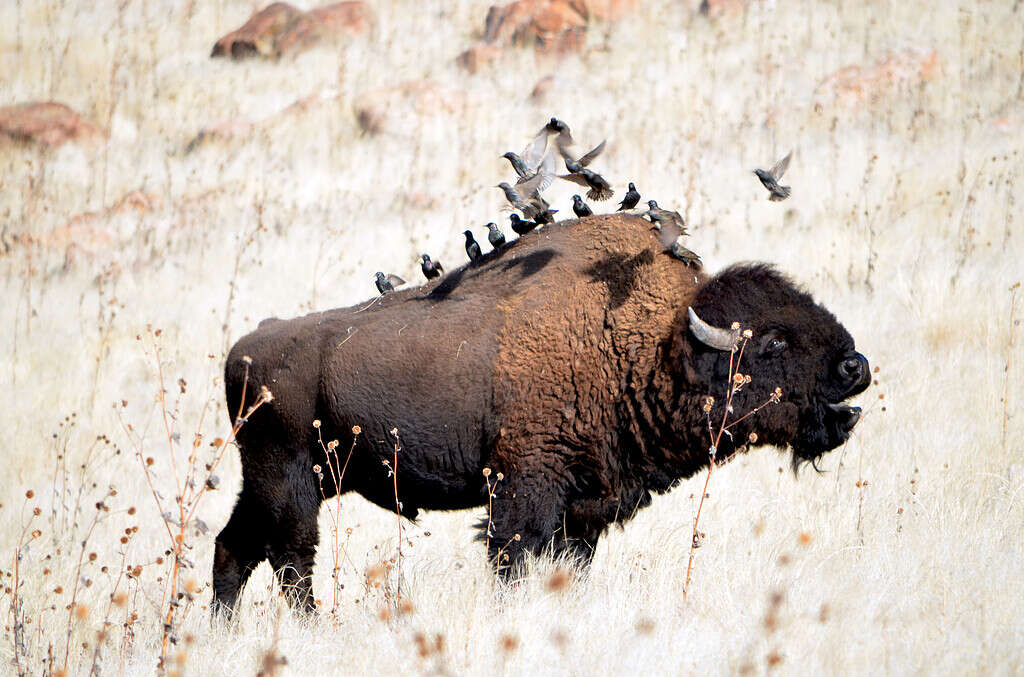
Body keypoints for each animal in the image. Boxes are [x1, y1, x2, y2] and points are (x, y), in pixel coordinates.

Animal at [211, 215, 868, 614]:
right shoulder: (524, 490)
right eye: (773, 342)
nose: (854, 366)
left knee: (234, 547)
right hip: (291, 480)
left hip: (282, 482)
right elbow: (513, 557)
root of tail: (245, 346)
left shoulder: (586, 509)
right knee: (290, 557)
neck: (646, 344)